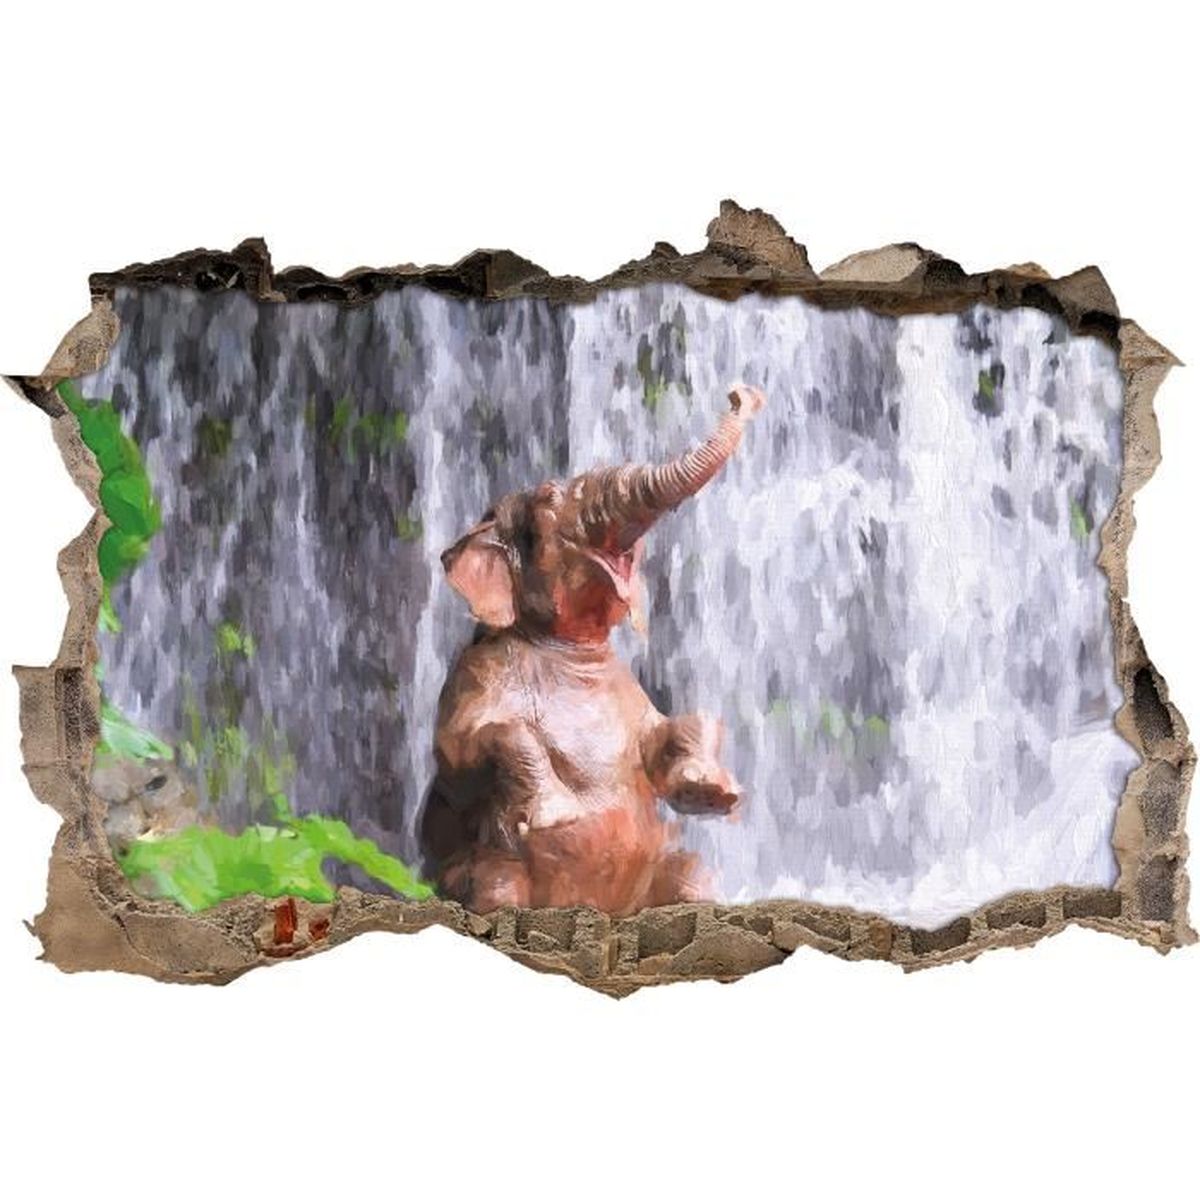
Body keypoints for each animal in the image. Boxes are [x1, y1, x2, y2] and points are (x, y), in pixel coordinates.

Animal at [419, 383, 766, 915]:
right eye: (546, 505)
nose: (741, 394)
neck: (569, 645)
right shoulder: (479, 669)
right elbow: (463, 746)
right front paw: (558, 814)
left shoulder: (626, 690)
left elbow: (661, 735)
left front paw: (714, 792)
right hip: (492, 870)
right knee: (498, 891)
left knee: (691, 874)